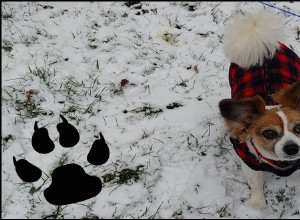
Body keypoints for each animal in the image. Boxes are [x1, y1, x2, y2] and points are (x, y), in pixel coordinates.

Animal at [218, 10, 300, 210]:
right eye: (269, 133)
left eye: (299, 128)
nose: (292, 148)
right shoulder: (249, 161)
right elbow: (255, 183)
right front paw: (257, 203)